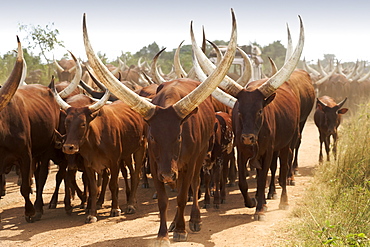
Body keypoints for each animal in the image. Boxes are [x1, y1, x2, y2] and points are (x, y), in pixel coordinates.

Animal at [81, 10, 237, 245]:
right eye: (153, 137)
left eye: (179, 136)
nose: (167, 174)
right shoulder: (154, 164)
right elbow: (164, 200)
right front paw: (164, 233)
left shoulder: (188, 162)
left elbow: (182, 195)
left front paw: (181, 229)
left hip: (199, 156)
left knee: (194, 185)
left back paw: (193, 220)